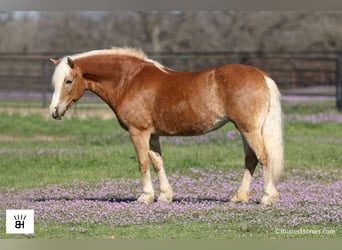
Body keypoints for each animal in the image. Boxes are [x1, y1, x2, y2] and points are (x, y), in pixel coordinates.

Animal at [48, 47, 284, 205]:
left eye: (68, 81)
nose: (54, 111)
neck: (128, 80)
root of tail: (262, 76)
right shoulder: (152, 135)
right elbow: (157, 162)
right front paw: (164, 195)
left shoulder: (138, 133)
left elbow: (143, 163)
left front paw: (145, 196)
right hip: (246, 129)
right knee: (251, 159)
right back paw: (239, 197)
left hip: (249, 129)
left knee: (263, 157)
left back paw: (267, 197)